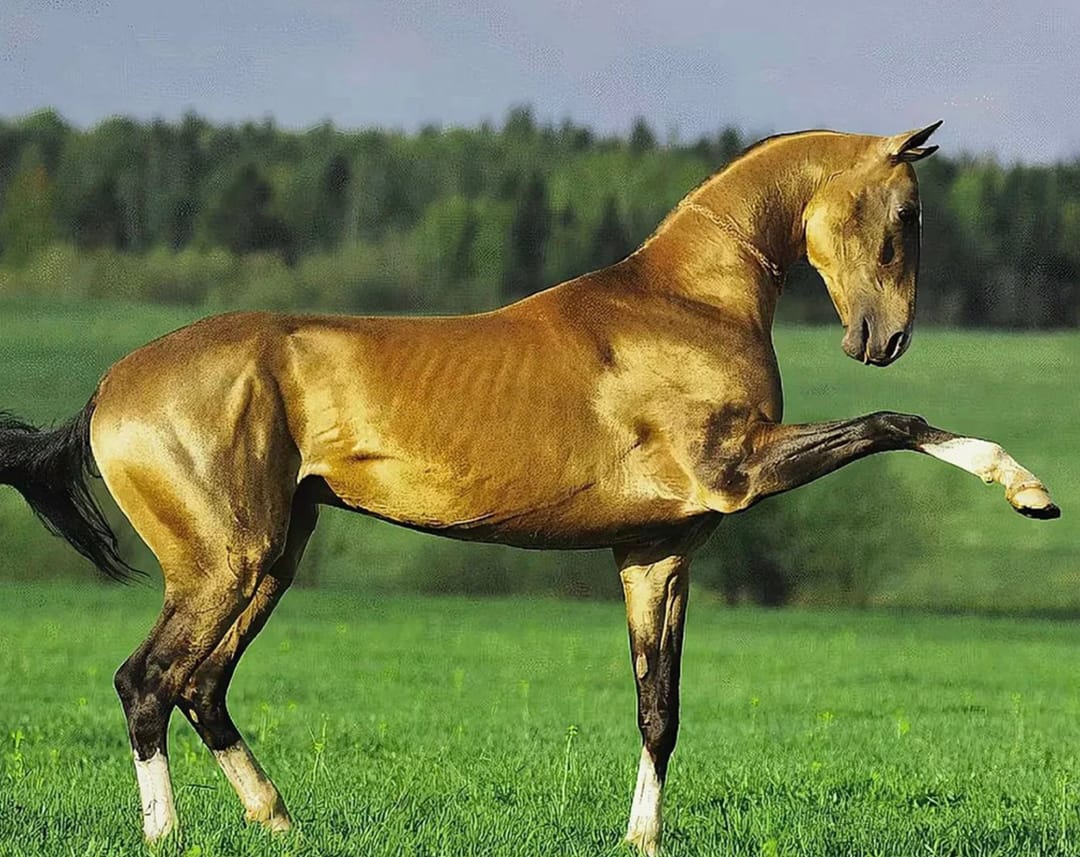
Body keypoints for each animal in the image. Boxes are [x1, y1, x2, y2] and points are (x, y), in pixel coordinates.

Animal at [0, 121, 1060, 855]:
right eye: (907, 215)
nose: (882, 340)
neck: (688, 302)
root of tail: (108, 390)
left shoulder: (657, 551)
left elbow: (659, 706)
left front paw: (641, 837)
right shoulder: (740, 471)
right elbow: (894, 424)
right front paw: (1028, 491)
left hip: (271, 560)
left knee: (200, 685)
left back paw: (279, 821)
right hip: (224, 562)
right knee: (148, 681)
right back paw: (167, 833)